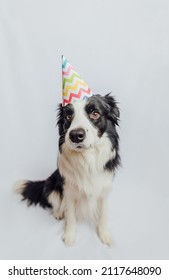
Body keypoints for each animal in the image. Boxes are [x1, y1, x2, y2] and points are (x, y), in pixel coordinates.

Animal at [16, 93, 120, 245]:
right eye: (69, 116)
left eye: (95, 114)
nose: (76, 135)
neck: (87, 160)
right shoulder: (69, 190)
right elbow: (70, 215)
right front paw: (69, 236)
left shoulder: (104, 188)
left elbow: (103, 214)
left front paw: (105, 235)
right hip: (51, 184)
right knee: (55, 201)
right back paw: (59, 213)